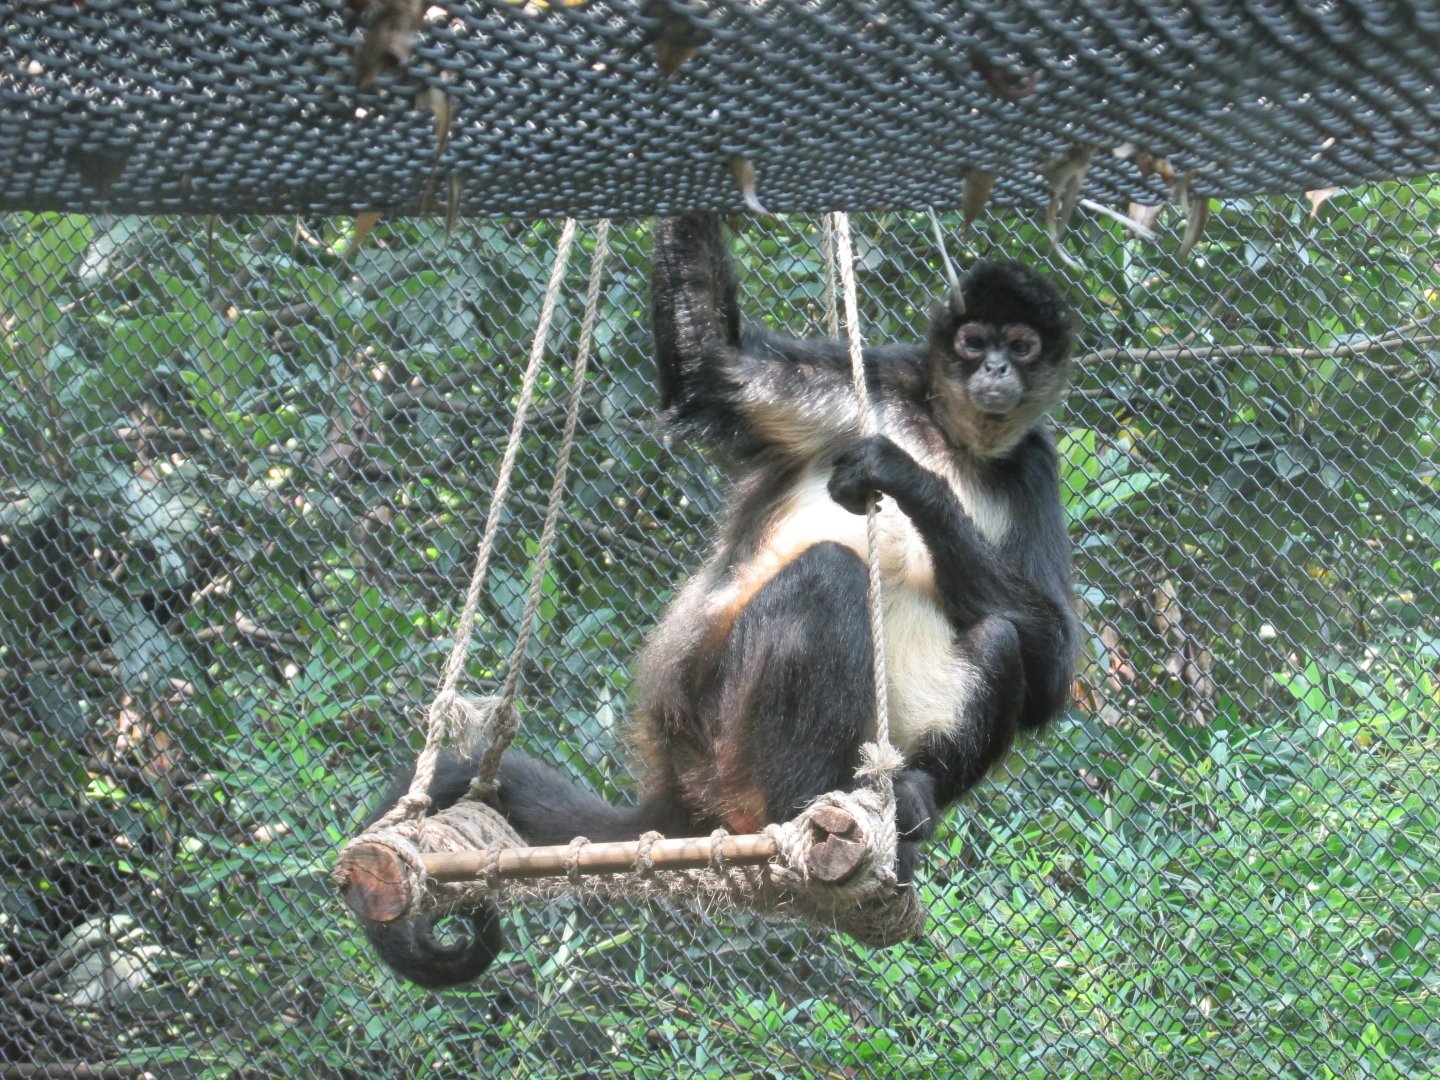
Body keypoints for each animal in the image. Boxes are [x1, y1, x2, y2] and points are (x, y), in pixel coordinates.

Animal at [361, 213, 1078, 989]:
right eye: (974, 341)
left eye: (1022, 345)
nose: (995, 371)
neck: (946, 436)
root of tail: (679, 789)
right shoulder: (882, 380)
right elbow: (712, 364)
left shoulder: (1033, 464)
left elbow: (1053, 668)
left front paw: (907, 477)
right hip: (717, 731)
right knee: (830, 573)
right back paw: (804, 815)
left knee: (1000, 637)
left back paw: (905, 808)